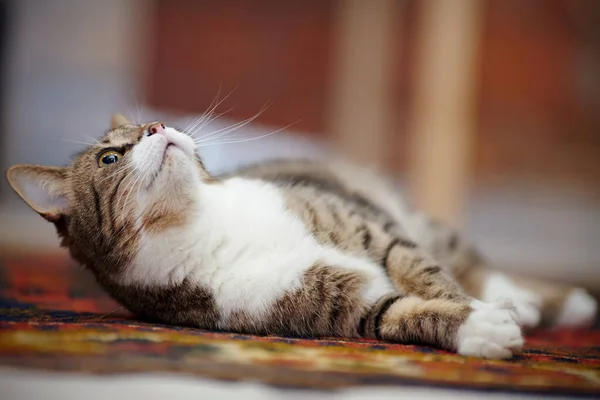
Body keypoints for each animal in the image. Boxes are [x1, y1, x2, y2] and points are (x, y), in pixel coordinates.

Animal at [4, 113, 596, 360]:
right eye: (109, 158)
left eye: (151, 119)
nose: (157, 127)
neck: (200, 221)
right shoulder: (342, 305)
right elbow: (401, 312)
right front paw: (478, 328)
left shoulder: (370, 227)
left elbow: (429, 275)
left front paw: (481, 310)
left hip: (405, 215)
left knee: (469, 262)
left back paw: (549, 302)